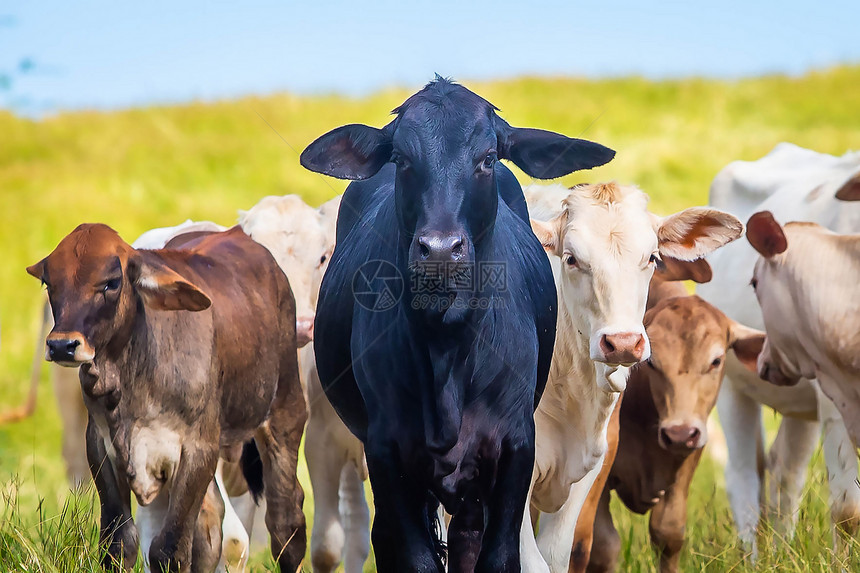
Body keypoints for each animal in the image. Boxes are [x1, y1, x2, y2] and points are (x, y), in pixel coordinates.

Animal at [26, 225, 308, 572]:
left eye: (111, 283)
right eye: (48, 282)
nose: (62, 345)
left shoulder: (197, 449)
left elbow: (169, 549)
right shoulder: (100, 445)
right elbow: (119, 542)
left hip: (284, 413)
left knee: (286, 522)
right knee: (212, 518)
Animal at [300, 77, 612, 572]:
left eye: (487, 158)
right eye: (402, 158)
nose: (442, 250)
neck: (446, 347)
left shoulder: (515, 450)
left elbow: (498, 557)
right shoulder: (386, 453)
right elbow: (416, 558)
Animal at [696, 144, 860, 560]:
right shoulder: (835, 400)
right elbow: (847, 509)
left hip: (800, 406)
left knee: (785, 474)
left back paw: (783, 552)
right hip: (732, 388)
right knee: (744, 476)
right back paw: (754, 557)